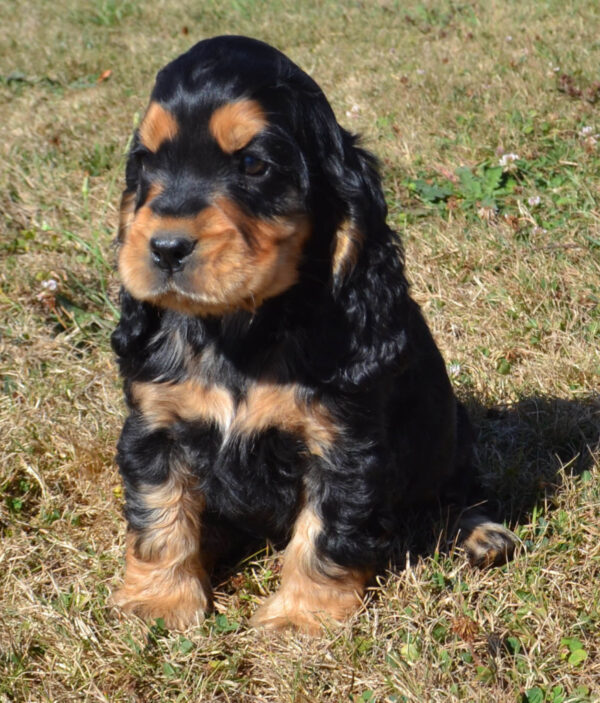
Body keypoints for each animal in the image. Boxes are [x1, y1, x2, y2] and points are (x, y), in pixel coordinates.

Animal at [110, 35, 512, 636]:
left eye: (253, 164)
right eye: (146, 162)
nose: (165, 248)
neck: (242, 330)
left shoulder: (344, 445)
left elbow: (325, 531)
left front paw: (302, 617)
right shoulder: (156, 426)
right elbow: (161, 515)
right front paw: (159, 601)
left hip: (450, 433)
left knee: (456, 491)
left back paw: (481, 533)